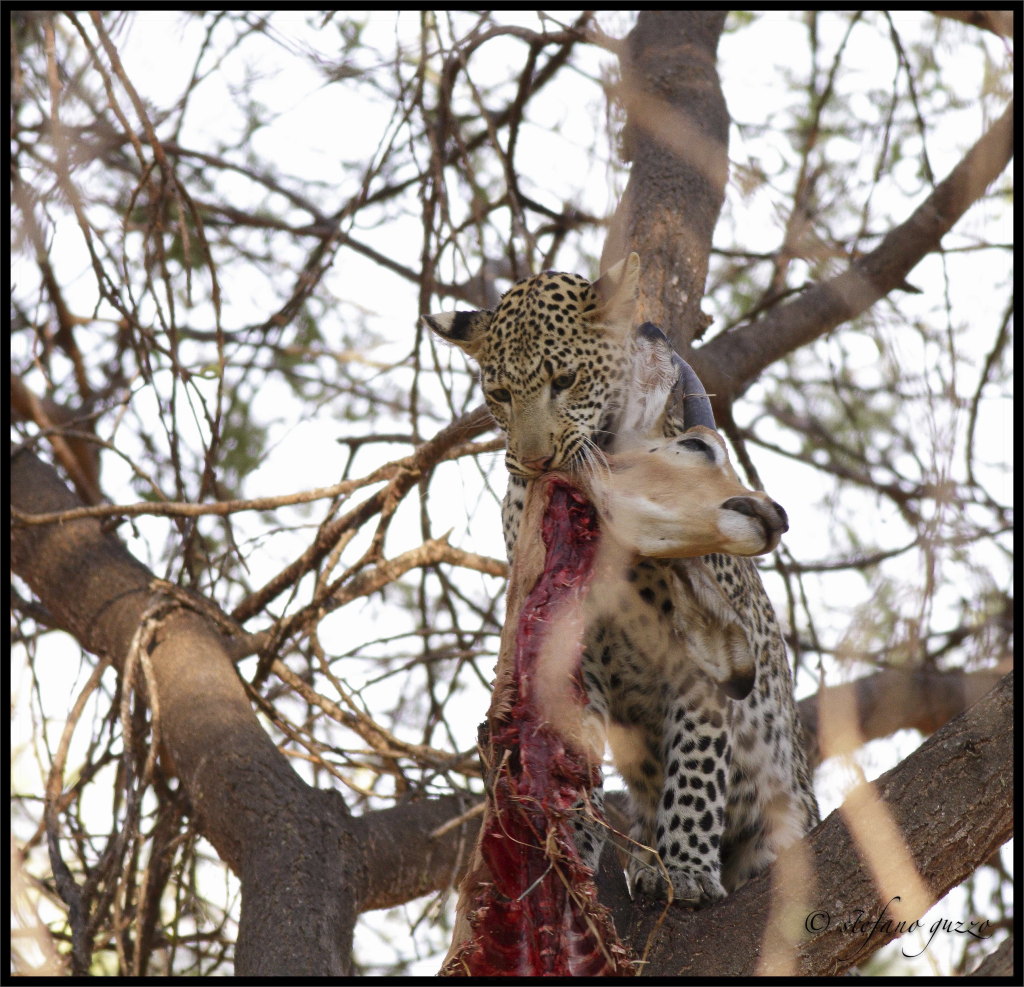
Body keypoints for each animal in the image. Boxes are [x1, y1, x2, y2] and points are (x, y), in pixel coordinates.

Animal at [421, 252, 815, 900]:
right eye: (500, 393)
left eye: (564, 380)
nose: (534, 461)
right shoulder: (569, 651)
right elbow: (571, 754)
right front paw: (570, 848)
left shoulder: (698, 667)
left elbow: (697, 764)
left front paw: (685, 869)